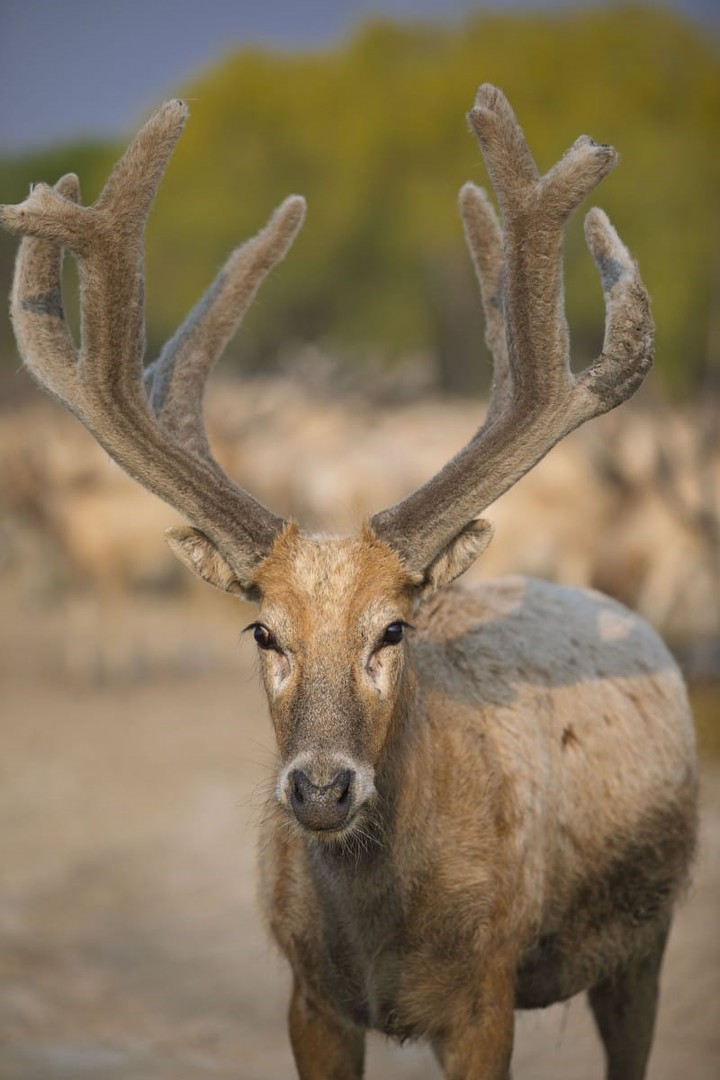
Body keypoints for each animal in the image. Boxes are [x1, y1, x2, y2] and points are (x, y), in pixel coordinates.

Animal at [0, 85, 697, 1080]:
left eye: (393, 629)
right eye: (263, 631)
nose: (322, 789)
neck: (382, 941)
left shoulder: (485, 998)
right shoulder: (309, 998)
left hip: (648, 932)